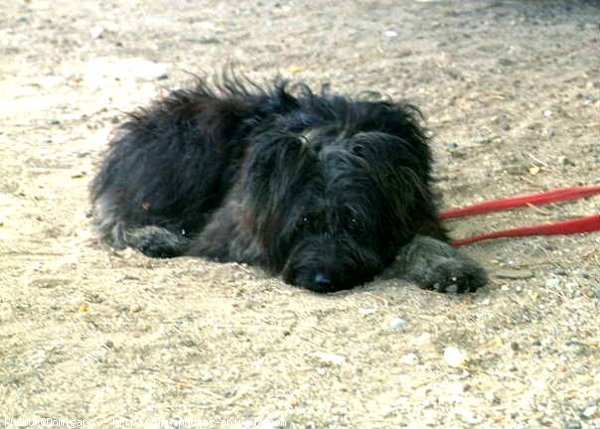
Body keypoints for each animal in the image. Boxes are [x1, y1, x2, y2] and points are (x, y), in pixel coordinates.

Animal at [92, 75, 488, 292]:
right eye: (304, 222)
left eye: (355, 222)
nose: (323, 279)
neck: (333, 137)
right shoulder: (233, 226)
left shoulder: (415, 205)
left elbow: (423, 239)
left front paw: (450, 268)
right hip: (195, 145)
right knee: (120, 212)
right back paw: (155, 236)